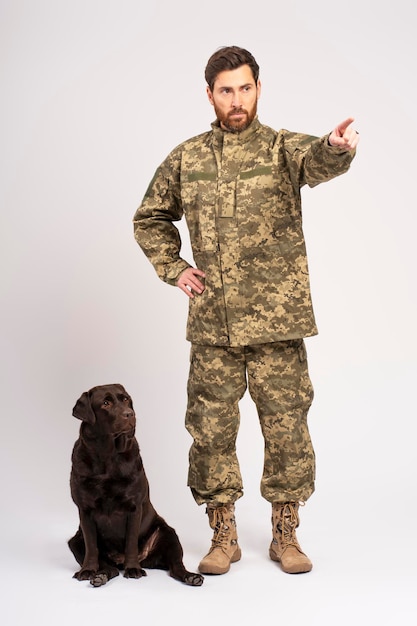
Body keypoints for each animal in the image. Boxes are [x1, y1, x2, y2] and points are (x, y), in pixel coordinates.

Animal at [68, 380, 203, 584]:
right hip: (75, 541)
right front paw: (88, 570)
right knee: (108, 566)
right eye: (105, 403)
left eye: (125, 400)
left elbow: (131, 542)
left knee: (176, 566)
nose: (129, 414)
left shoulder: (134, 507)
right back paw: (100, 575)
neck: (108, 457)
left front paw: (133, 568)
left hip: (169, 534)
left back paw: (191, 577)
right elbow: (92, 547)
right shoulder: (85, 510)